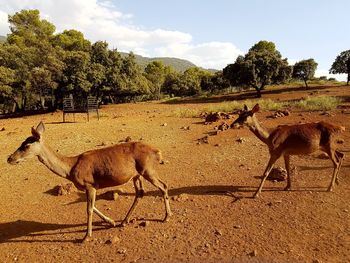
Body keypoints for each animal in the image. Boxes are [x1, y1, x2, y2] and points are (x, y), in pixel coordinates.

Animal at [7, 122, 172, 242]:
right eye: (22, 142)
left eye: (26, 145)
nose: (9, 158)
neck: (70, 170)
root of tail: (157, 152)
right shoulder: (92, 187)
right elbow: (93, 207)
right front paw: (111, 222)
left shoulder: (89, 184)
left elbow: (89, 209)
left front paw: (86, 236)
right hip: (136, 175)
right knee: (140, 193)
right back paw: (124, 221)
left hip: (148, 170)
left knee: (163, 186)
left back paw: (166, 217)